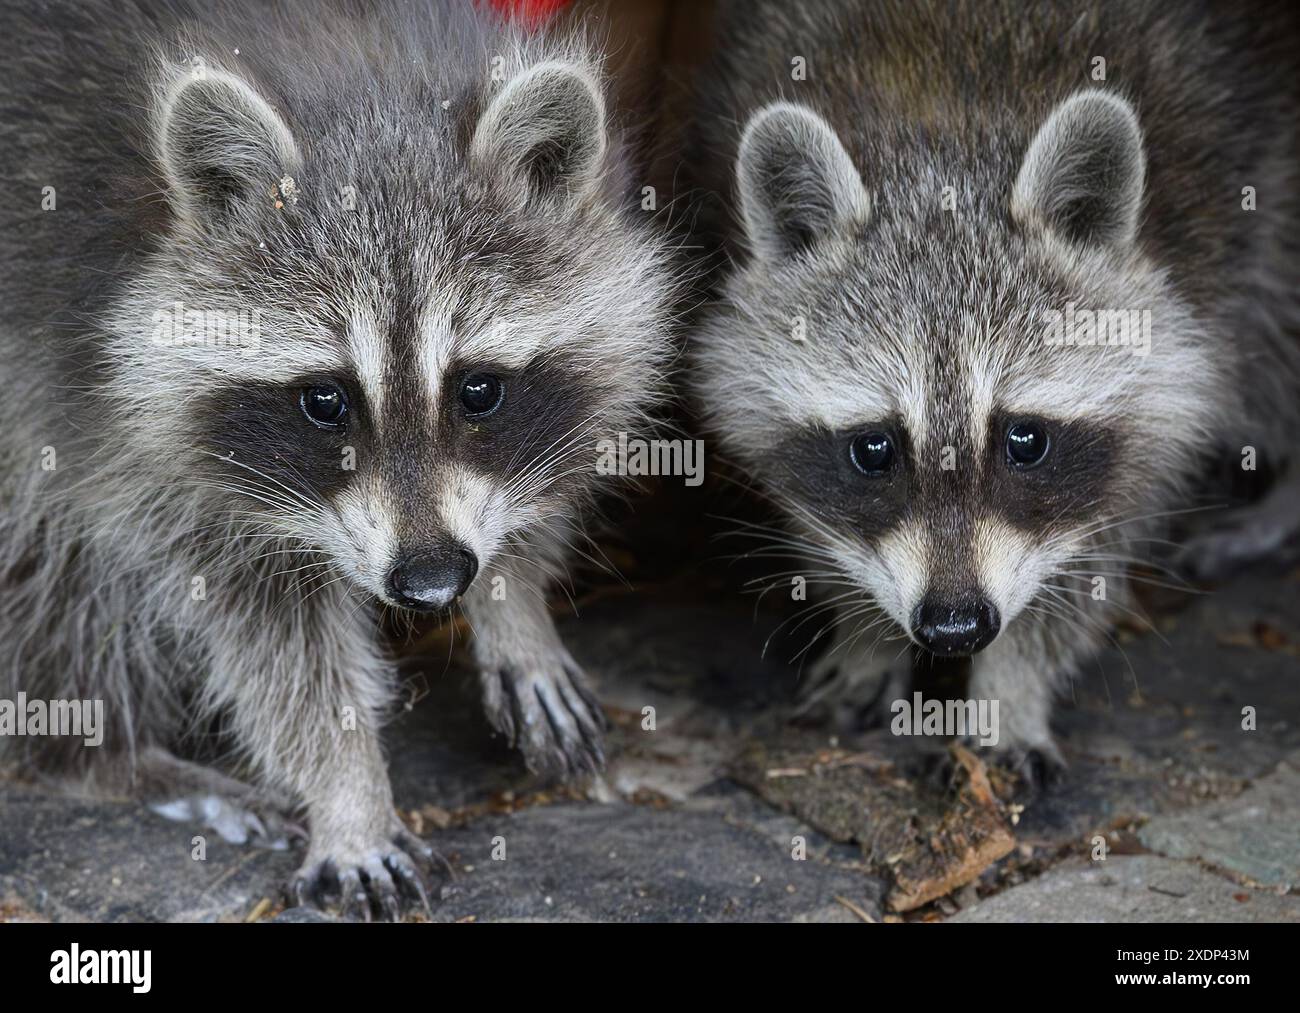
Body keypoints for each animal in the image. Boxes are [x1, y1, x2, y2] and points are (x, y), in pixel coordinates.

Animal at [0, 0, 676, 916]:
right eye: (325, 400)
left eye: (479, 390)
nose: (433, 583)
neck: (366, 79)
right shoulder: (133, 434)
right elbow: (274, 638)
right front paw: (347, 787)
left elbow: (555, 456)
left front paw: (515, 602)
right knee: (57, 571)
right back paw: (103, 754)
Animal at [689, 0, 1299, 779]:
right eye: (874, 448)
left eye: (1025, 440)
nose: (955, 627)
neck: (946, 138)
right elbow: (823, 515)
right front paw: (865, 634)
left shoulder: (1188, 323)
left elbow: (1090, 553)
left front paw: (1011, 688)